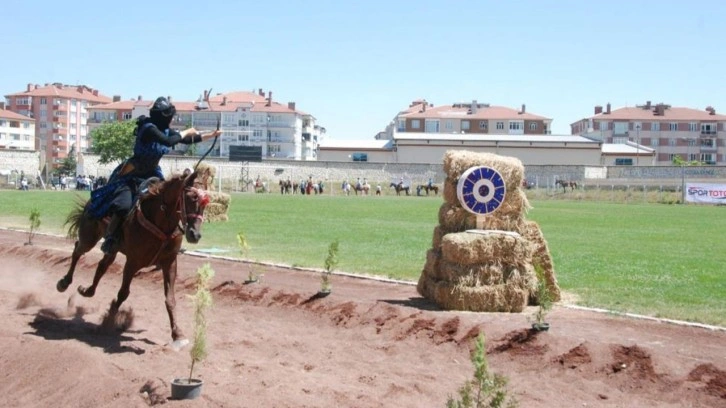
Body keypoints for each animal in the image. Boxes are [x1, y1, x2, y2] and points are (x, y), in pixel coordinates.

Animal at [56, 171, 210, 342]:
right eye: (191, 197)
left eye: (205, 202)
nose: (195, 234)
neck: (160, 220)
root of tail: (92, 201)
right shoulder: (132, 262)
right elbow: (123, 293)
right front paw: (107, 322)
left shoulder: (169, 262)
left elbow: (170, 298)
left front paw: (178, 334)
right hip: (89, 237)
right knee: (78, 250)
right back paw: (64, 283)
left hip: (113, 249)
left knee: (102, 265)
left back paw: (87, 290)